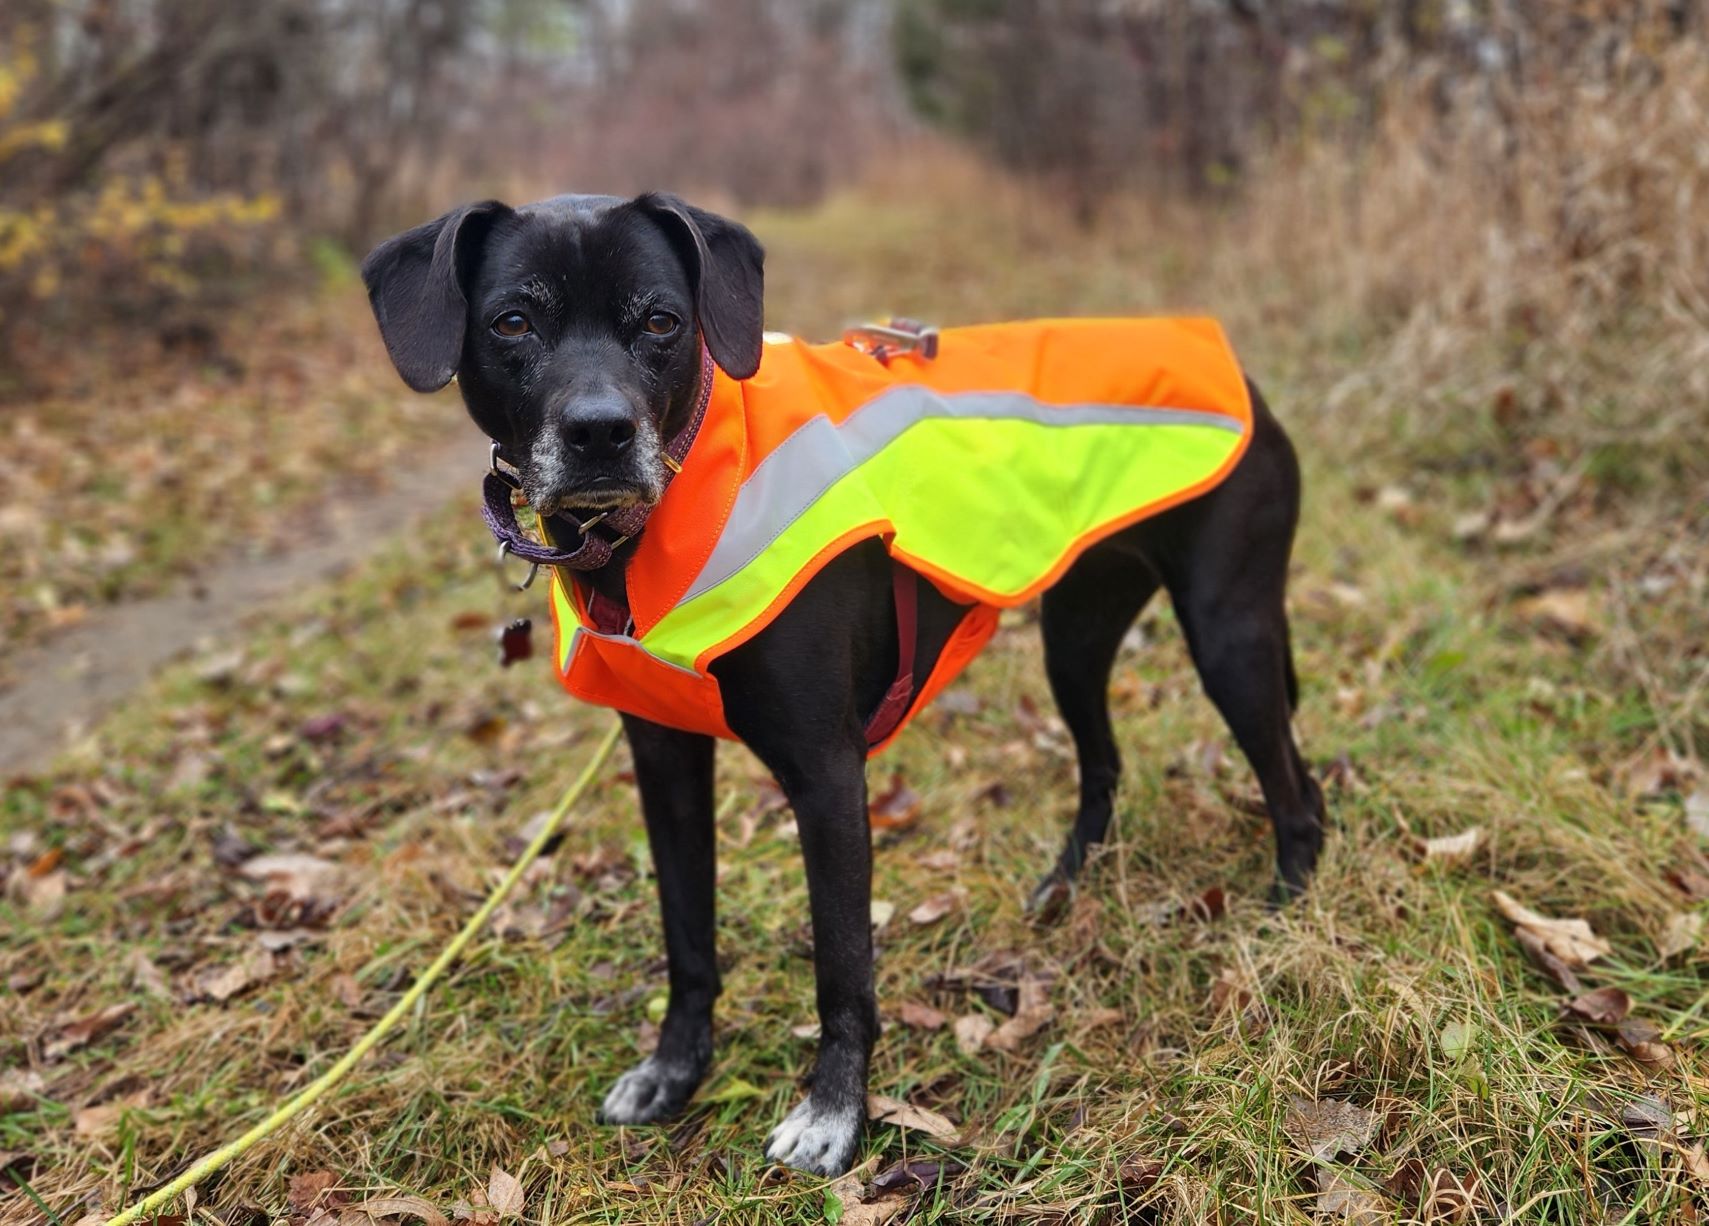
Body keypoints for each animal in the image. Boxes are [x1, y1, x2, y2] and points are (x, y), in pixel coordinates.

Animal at [357, 194, 1319, 1176]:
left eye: (661, 321)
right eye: (512, 322)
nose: (599, 433)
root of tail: (1236, 367)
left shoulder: (827, 776)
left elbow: (842, 970)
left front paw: (833, 1118)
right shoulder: (665, 765)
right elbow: (687, 938)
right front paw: (674, 1073)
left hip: (1226, 635)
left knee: (1291, 787)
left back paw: (1282, 912)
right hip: (1075, 636)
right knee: (1109, 765)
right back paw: (1064, 889)